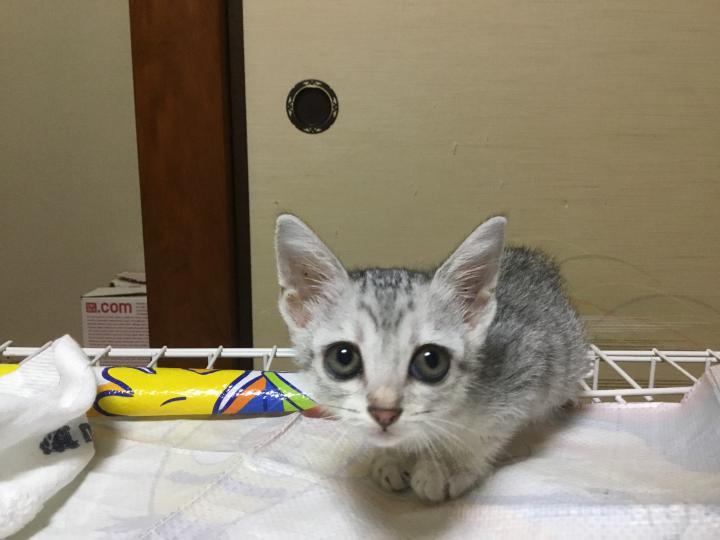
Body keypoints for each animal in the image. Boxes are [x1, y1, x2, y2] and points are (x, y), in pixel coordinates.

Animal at [274, 214, 588, 502]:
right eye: (343, 358)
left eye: (432, 361)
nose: (384, 412)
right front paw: (393, 457)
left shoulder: (526, 364)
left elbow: (486, 436)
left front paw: (449, 466)